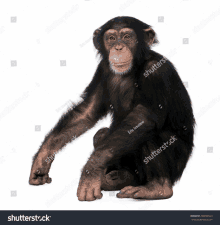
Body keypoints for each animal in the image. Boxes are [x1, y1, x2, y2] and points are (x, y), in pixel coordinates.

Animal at [29, 16, 196, 201]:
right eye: (111, 38)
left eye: (127, 37)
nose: (118, 47)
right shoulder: (102, 69)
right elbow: (87, 112)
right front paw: (42, 158)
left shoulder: (156, 71)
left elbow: (144, 118)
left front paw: (91, 170)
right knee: (101, 134)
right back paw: (116, 179)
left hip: (177, 165)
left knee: (149, 134)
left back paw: (156, 188)